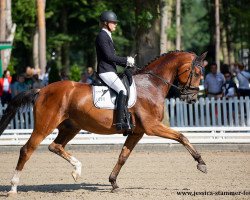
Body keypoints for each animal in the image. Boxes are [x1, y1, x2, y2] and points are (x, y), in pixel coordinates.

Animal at [0, 50, 207, 195]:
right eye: (197, 72)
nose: (192, 98)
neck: (151, 85)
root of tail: (41, 90)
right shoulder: (152, 127)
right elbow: (182, 137)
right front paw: (201, 163)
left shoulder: (137, 132)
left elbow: (123, 157)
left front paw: (113, 182)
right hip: (44, 126)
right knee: (27, 150)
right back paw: (13, 188)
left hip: (71, 127)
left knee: (55, 146)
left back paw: (77, 170)